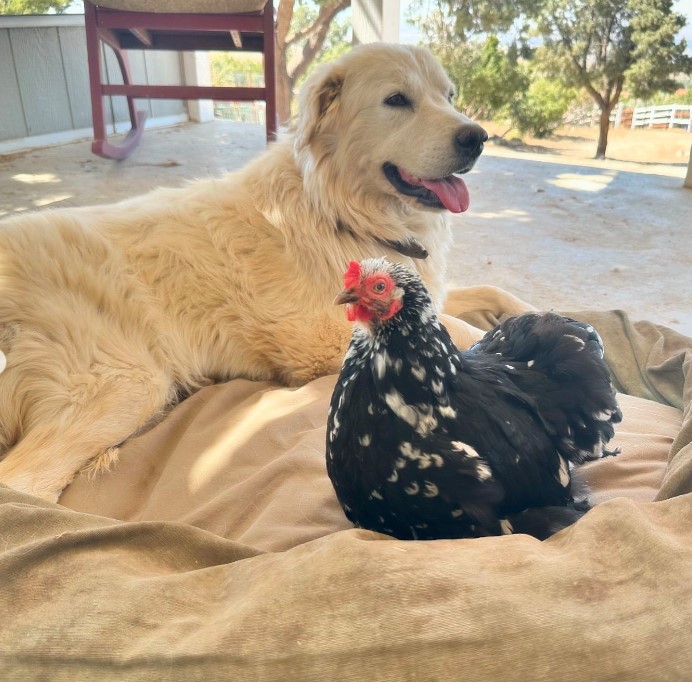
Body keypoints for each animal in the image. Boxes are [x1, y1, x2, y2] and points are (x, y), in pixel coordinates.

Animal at [0, 42, 528, 500]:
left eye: (449, 97)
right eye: (397, 100)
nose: (477, 138)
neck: (338, 210)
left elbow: (492, 294)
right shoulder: (331, 335)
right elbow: (459, 332)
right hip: (124, 384)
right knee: (22, 485)